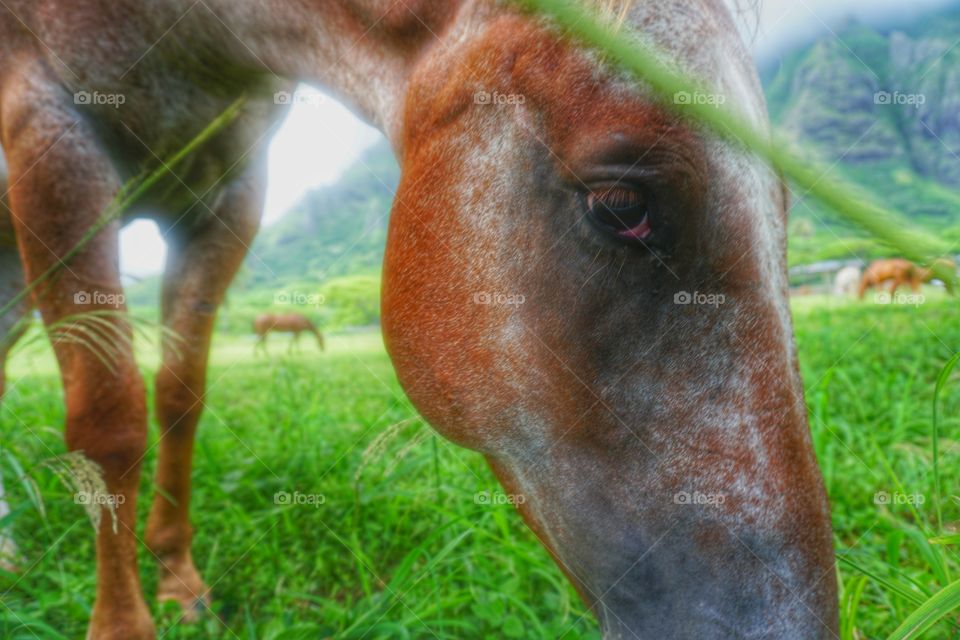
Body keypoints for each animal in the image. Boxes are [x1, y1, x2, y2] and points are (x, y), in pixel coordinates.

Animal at [0, 1, 838, 638]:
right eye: (621, 203)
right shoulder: (51, 136)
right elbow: (110, 424)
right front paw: (122, 622)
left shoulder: (225, 198)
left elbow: (180, 398)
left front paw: (176, 577)